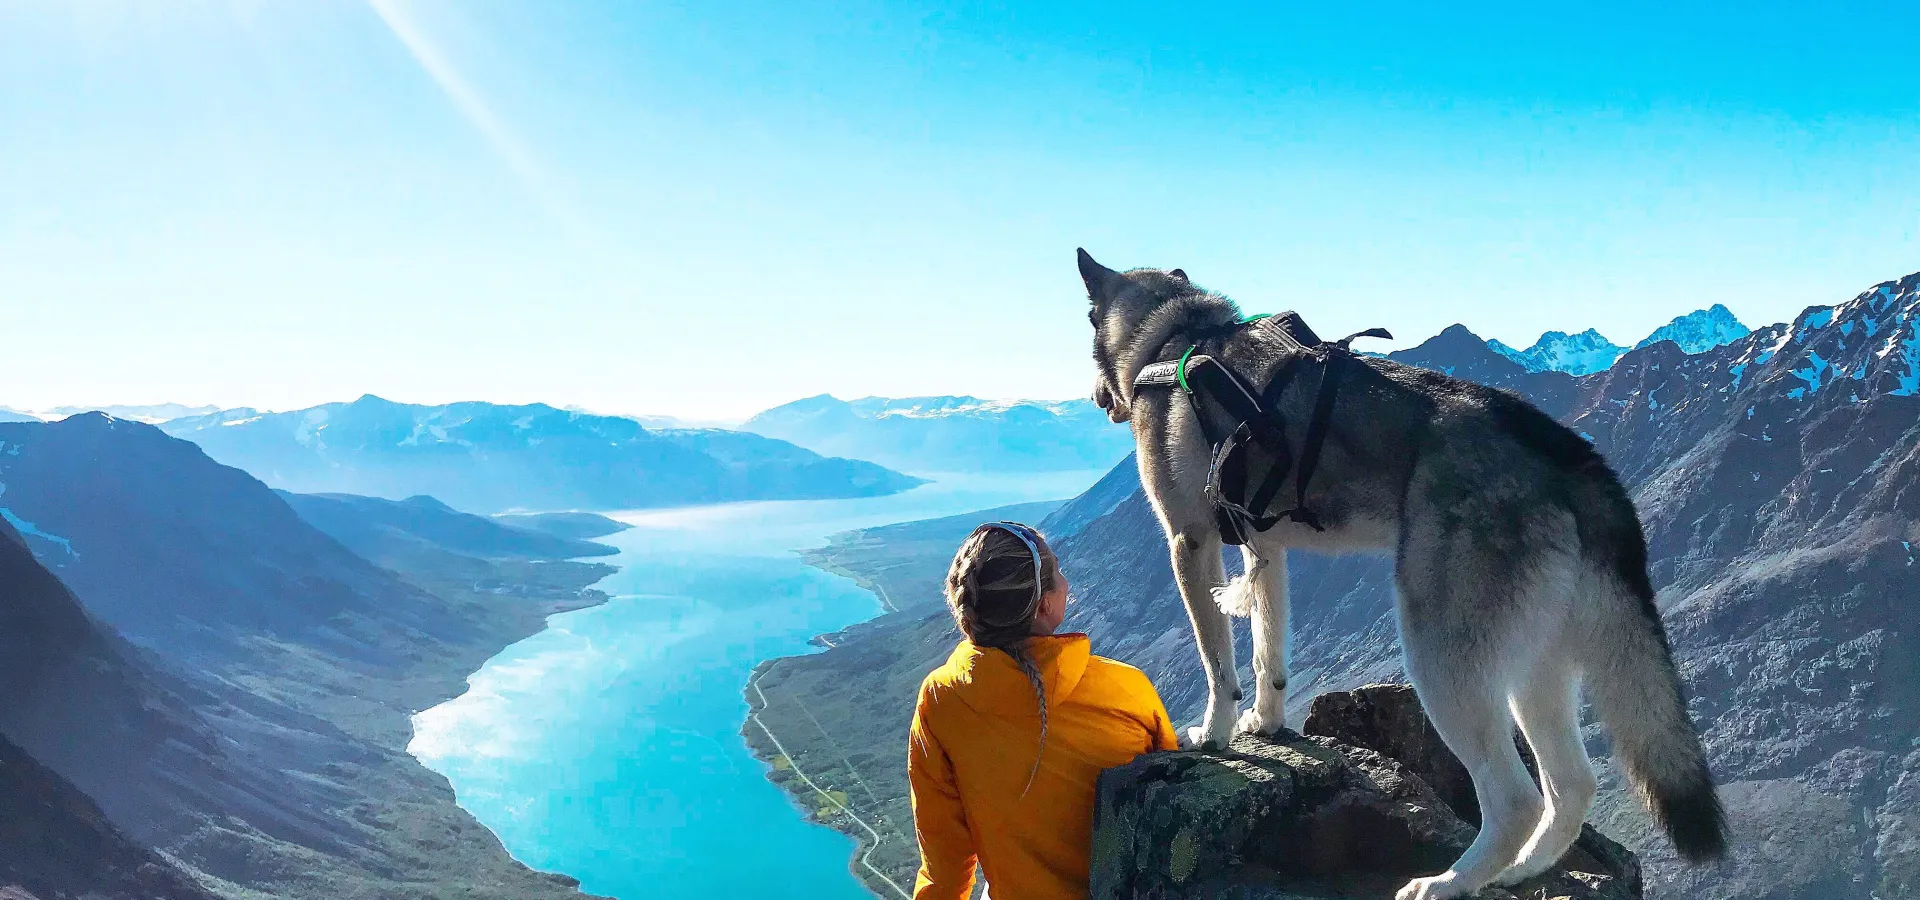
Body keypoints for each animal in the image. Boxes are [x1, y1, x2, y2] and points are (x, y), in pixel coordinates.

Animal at [1082, 247, 1728, 898]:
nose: (1093, 400)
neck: (1175, 333)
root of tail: (1569, 453)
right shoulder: (1265, 550)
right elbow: (1269, 654)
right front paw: (1264, 722)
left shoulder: (1190, 543)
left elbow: (1218, 661)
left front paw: (1213, 734)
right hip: (1535, 665)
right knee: (1572, 785)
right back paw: (1524, 869)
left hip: (1441, 659)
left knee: (1516, 799)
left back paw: (1449, 882)